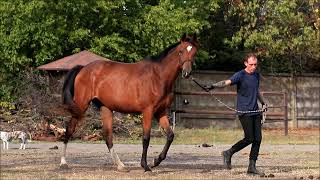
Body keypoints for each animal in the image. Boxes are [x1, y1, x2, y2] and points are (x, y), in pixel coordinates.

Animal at [60, 32, 198, 172]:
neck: (158, 77)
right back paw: (63, 162)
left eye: (194, 53)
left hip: (105, 108)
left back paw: (121, 165)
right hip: (81, 105)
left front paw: (155, 161)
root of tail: (83, 68)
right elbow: (146, 138)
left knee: (107, 136)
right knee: (70, 129)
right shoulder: (147, 111)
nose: (186, 73)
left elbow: (170, 136)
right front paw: (145, 165)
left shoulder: (160, 112)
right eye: (180, 51)